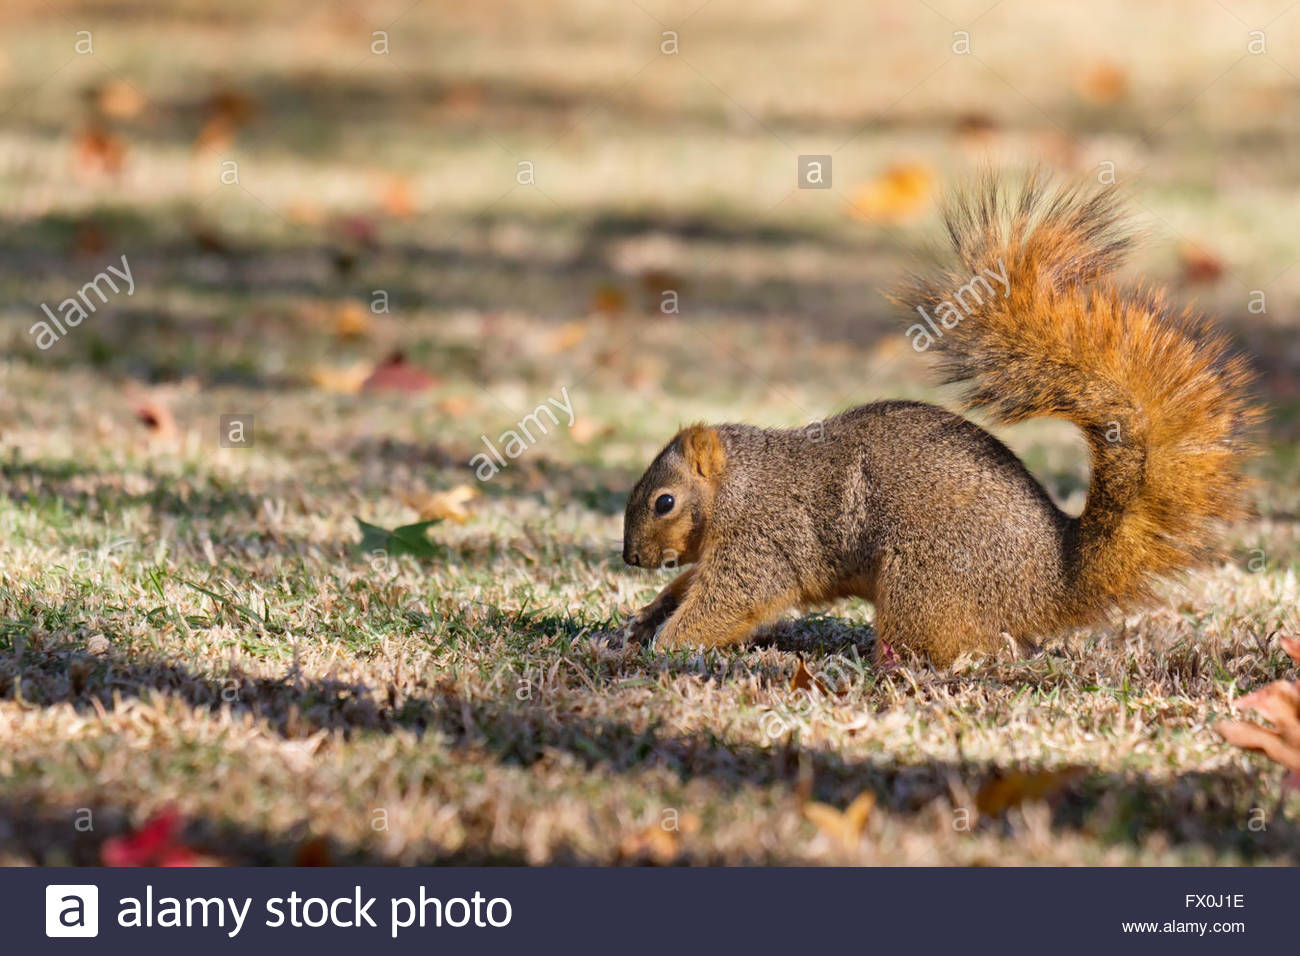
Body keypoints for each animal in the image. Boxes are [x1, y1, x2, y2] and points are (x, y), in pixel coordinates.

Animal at [620, 173, 1261, 667]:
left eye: (664, 502)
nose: (630, 559)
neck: (740, 485)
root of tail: (1053, 583)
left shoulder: (765, 541)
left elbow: (733, 597)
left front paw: (670, 643)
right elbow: (689, 585)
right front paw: (647, 617)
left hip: (923, 580)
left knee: (969, 647)